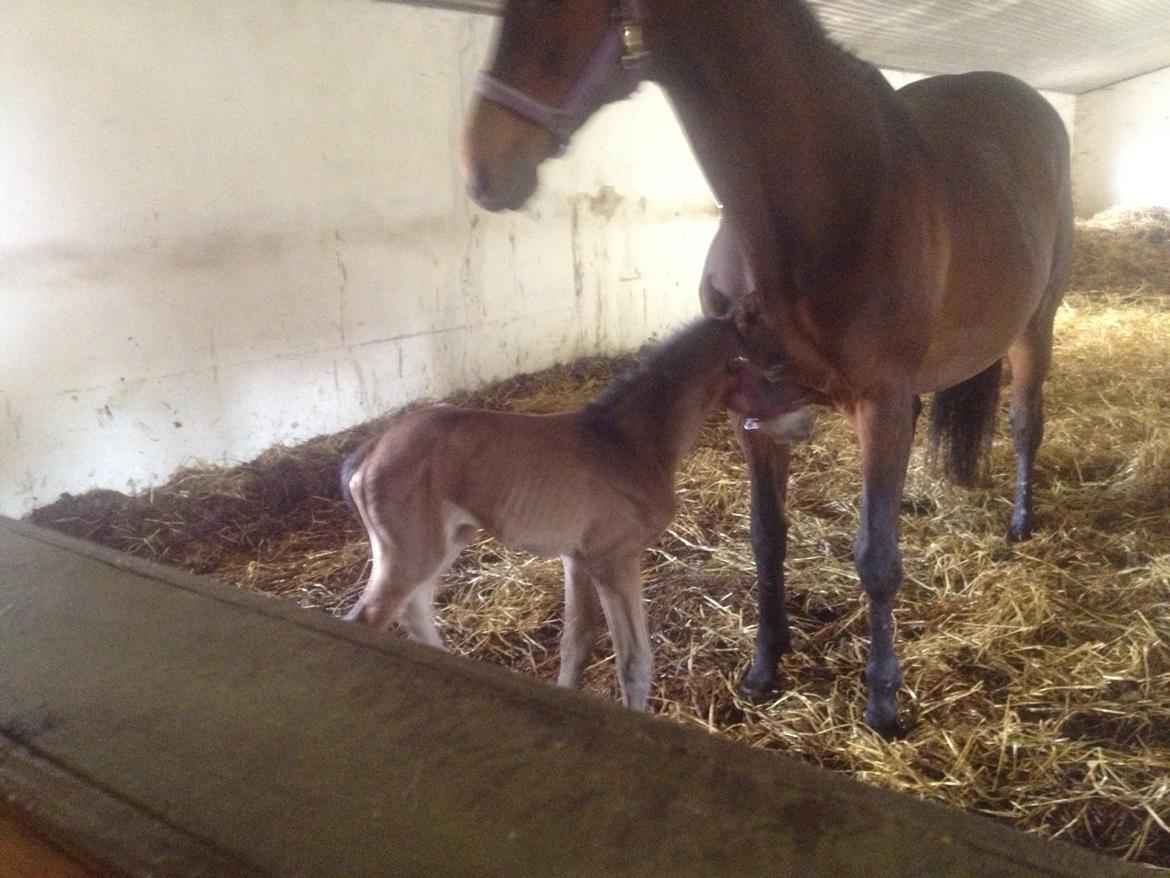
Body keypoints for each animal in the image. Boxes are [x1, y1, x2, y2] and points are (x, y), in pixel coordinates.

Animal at [341, 318, 790, 716]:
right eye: (772, 367)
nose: (795, 427)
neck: (629, 443)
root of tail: (371, 449)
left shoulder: (576, 557)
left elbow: (576, 643)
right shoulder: (614, 560)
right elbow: (635, 662)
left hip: (445, 542)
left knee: (414, 609)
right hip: (410, 551)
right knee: (370, 617)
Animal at [453, 0, 1071, 735]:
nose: (482, 170)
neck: (826, 204)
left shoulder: (882, 402)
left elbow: (877, 558)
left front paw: (882, 698)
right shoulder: (754, 403)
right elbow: (766, 536)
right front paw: (766, 662)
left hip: (1034, 327)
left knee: (1025, 422)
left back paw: (1020, 520)